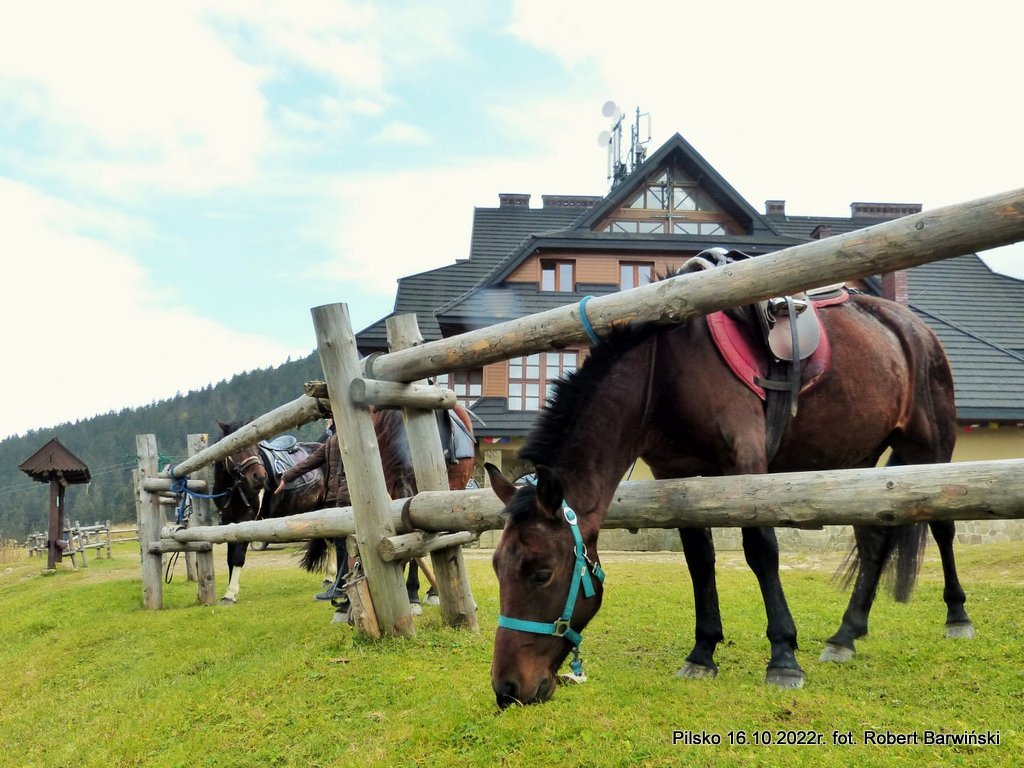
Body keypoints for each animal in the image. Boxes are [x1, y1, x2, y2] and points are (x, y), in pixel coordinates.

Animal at [485, 285, 970, 708]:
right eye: (497, 569)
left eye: (542, 573)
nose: (507, 689)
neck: (663, 372)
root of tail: (914, 328)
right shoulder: (675, 475)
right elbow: (699, 561)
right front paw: (703, 652)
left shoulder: (746, 461)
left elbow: (761, 550)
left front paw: (783, 657)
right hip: (856, 463)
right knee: (872, 543)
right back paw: (846, 635)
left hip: (932, 448)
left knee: (944, 526)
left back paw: (957, 616)